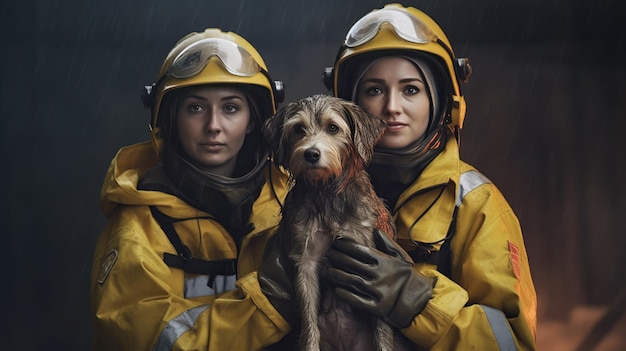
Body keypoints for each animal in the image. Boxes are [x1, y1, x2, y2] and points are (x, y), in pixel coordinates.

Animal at [264, 95, 400, 350]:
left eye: (333, 128)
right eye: (298, 129)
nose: (311, 154)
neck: (326, 192)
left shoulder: (372, 265)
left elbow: (382, 329)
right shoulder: (306, 261)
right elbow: (309, 328)